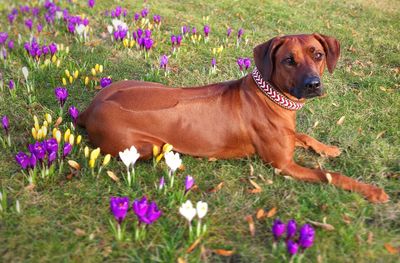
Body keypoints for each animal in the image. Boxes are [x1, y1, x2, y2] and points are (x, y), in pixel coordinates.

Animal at [77, 33, 388, 202]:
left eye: (319, 54)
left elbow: (304, 135)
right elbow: (330, 175)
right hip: (146, 145)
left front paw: (328, 148)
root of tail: (89, 108)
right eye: (289, 60)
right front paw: (370, 190)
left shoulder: (290, 137)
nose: (313, 84)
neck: (272, 98)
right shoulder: (284, 165)